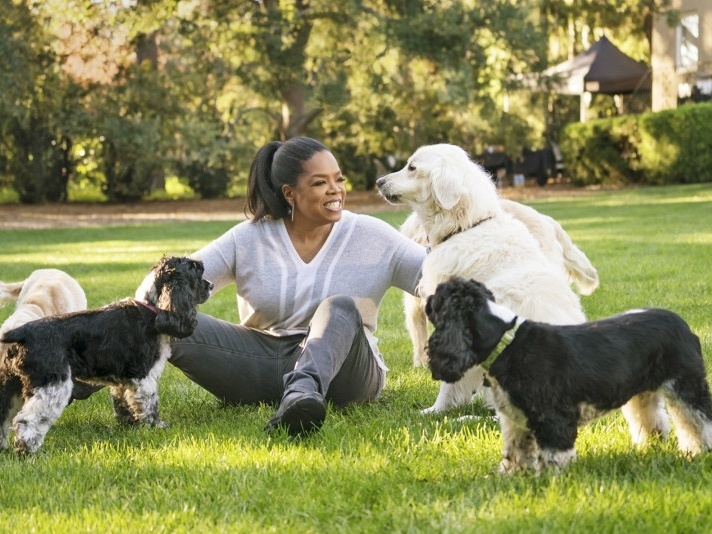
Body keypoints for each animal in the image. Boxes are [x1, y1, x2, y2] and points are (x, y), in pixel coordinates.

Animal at [0, 258, 211, 454]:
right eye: (197, 271)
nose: (210, 285)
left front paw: (129, 425)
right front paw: (155, 426)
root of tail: (20, 332)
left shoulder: (124, 381)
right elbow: (150, 404)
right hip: (52, 385)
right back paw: (28, 451)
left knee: (4, 417)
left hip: (12, 385)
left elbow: (125, 403)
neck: (151, 310)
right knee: (26, 420)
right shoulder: (144, 377)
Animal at [426, 278, 708, 476]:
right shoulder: (516, 420)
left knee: (697, 422)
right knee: (652, 421)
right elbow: (516, 451)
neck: (506, 341)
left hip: (687, 385)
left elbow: (553, 455)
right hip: (643, 392)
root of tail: (681, 323)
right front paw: (511, 476)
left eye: (438, 297)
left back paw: (698, 452)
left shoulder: (553, 418)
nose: (425, 298)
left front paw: (548, 481)